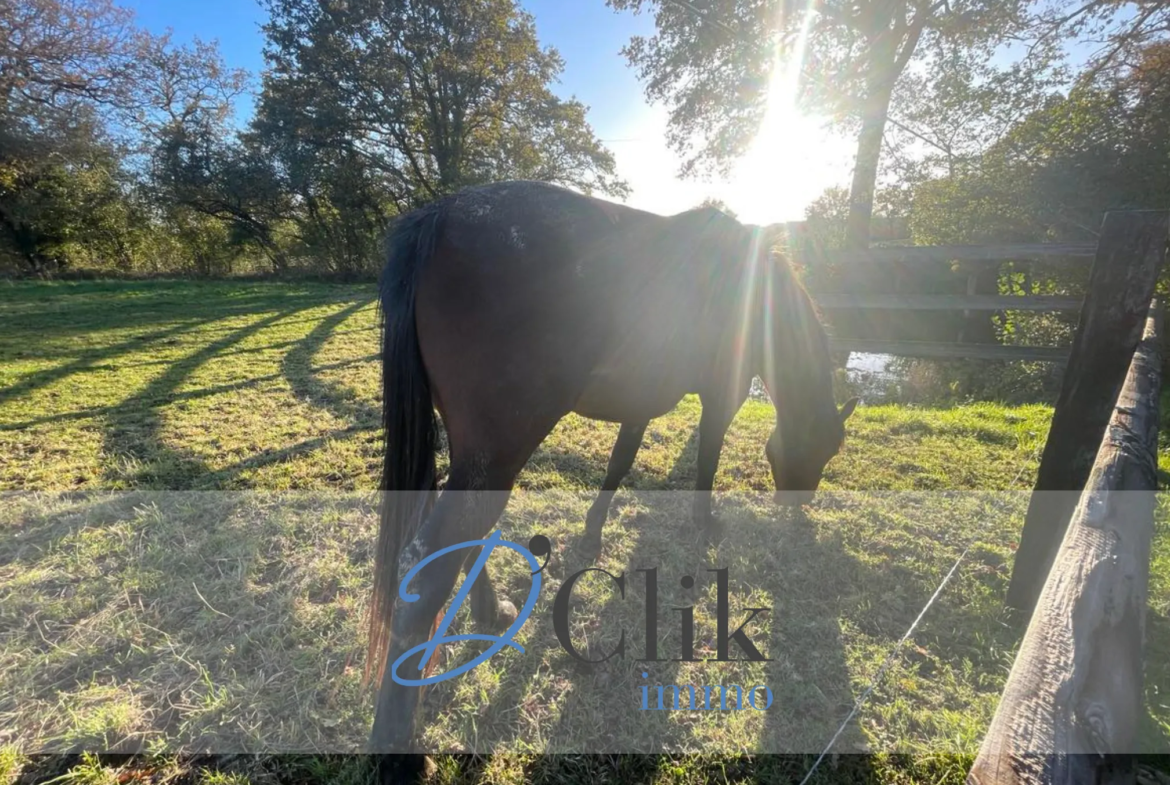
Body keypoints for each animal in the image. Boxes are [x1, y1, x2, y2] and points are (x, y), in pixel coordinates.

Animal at [360, 180, 856, 781]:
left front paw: (593, 533)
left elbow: (620, 463)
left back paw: (489, 612)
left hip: (473, 455)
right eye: (828, 448)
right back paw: (397, 751)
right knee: (428, 567)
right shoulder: (722, 397)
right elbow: (706, 461)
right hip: (496, 454)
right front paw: (704, 523)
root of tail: (440, 216)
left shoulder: (639, 405)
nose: (797, 507)